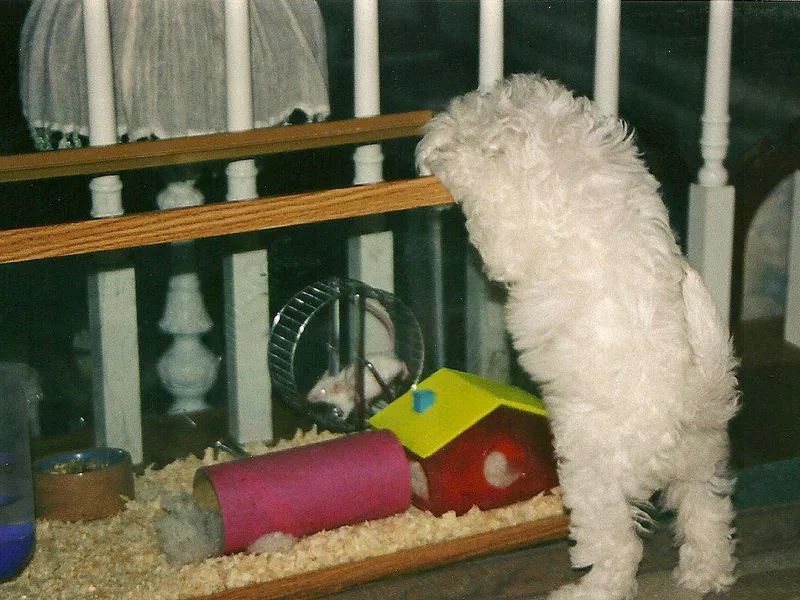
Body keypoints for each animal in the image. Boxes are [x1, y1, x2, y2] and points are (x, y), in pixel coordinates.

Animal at [416, 75, 740, 600]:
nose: (430, 134)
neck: (555, 143)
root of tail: (691, 400)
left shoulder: (509, 222)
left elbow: (480, 184)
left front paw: (447, 157)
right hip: (700, 459)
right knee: (707, 511)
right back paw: (704, 575)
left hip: (594, 474)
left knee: (620, 548)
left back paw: (586, 590)